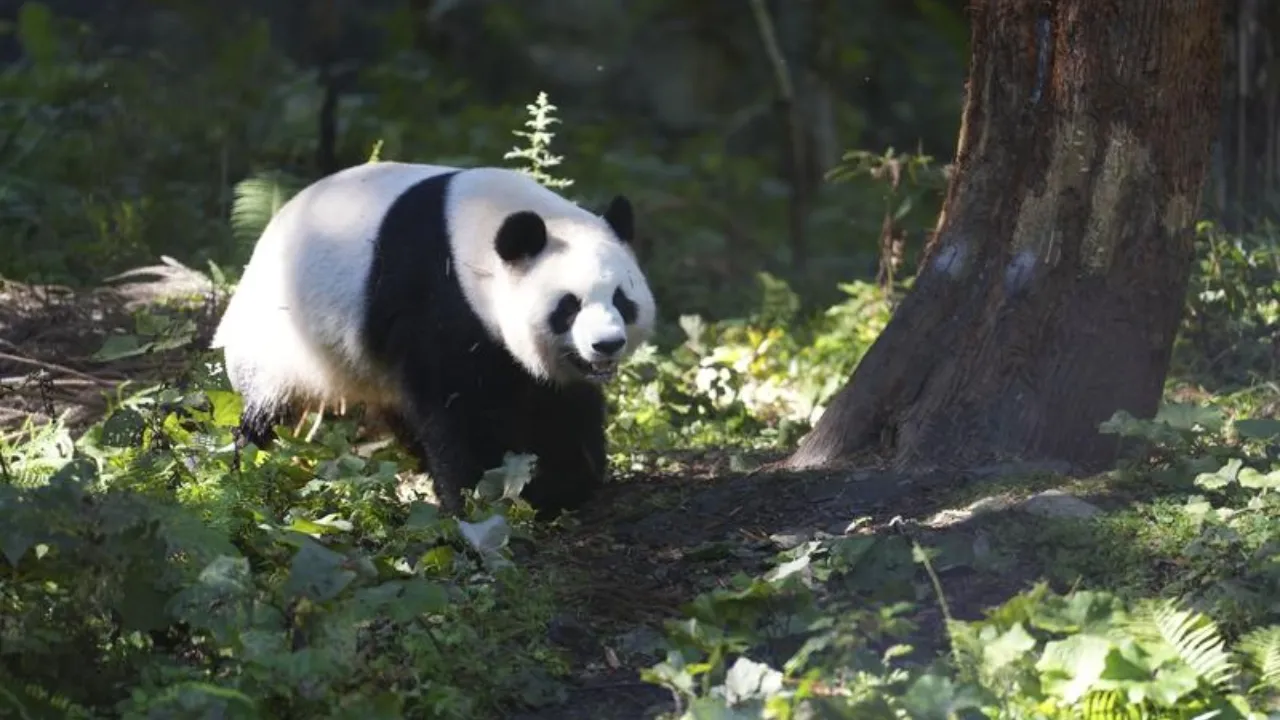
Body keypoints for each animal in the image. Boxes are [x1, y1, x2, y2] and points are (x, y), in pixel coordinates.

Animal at [211, 161, 657, 517]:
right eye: (569, 305)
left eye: (622, 299)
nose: (606, 345)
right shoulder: (434, 299)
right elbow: (456, 407)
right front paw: (478, 497)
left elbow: (561, 404)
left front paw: (569, 482)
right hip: (280, 344)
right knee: (264, 411)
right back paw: (242, 468)